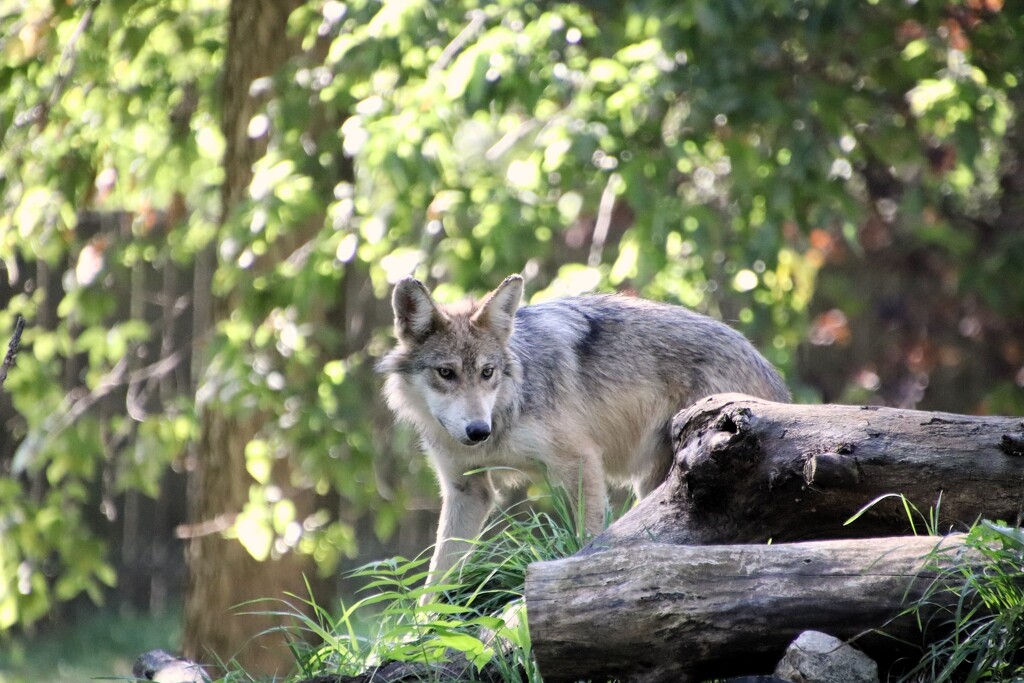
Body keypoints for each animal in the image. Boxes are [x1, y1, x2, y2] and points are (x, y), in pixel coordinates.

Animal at [380, 272, 786, 581]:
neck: (506, 413)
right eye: (446, 373)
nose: (479, 431)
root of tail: (767, 367)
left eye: (487, 372)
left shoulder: (579, 463)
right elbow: (437, 577)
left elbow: (587, 539)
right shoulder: (467, 490)